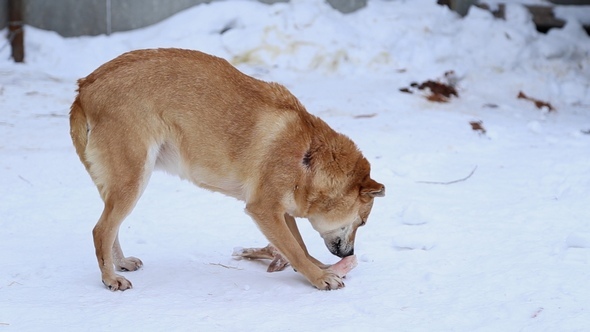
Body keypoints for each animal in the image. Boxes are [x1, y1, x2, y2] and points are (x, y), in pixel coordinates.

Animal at [69, 48, 386, 292]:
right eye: (362, 222)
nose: (352, 253)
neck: (307, 158)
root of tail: (85, 87)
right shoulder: (263, 209)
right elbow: (295, 249)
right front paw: (320, 277)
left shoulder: (280, 211)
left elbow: (298, 246)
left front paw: (318, 267)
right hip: (133, 180)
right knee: (101, 230)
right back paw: (110, 279)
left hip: (120, 186)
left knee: (111, 229)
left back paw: (120, 264)